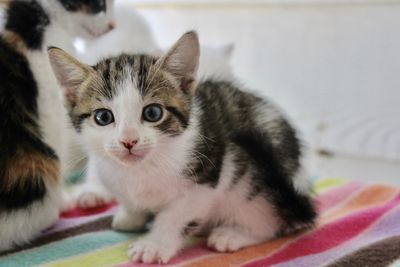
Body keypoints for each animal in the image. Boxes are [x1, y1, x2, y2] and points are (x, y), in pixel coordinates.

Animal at [48, 31, 316, 264]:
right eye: (103, 117)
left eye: (153, 113)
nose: (129, 141)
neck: (142, 169)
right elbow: (130, 200)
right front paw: (131, 216)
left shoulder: (208, 176)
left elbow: (176, 216)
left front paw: (154, 245)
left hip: (257, 182)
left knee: (272, 223)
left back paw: (233, 234)